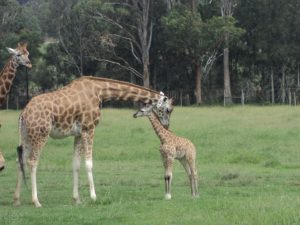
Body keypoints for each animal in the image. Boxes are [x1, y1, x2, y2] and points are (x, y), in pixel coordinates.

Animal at [14, 76, 173, 207]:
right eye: (169, 110)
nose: (166, 126)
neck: (100, 92)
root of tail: (23, 114)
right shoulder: (89, 128)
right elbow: (89, 163)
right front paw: (94, 196)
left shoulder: (78, 133)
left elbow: (76, 164)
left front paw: (77, 199)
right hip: (40, 134)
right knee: (32, 161)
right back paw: (36, 201)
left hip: (26, 136)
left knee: (20, 160)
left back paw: (17, 199)